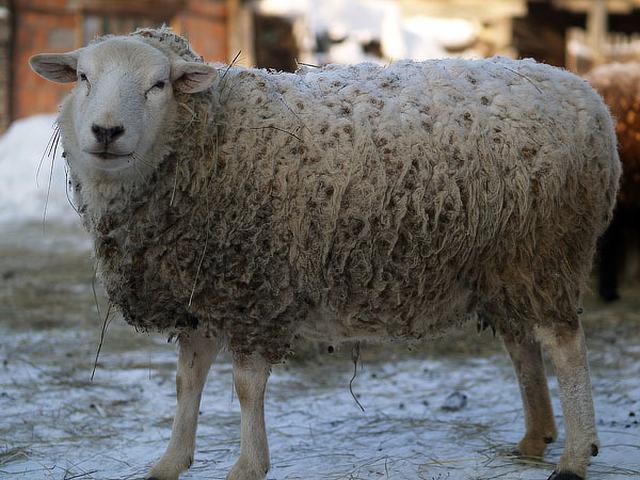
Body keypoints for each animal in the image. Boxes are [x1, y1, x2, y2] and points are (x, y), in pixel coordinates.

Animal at [29, 27, 620, 480]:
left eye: (158, 85)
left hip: (545, 249)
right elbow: (186, 381)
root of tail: (586, 95)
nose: (106, 131)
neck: (209, 143)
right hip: (502, 263)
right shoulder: (202, 290)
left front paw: (248, 466)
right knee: (523, 344)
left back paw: (574, 454)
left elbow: (246, 386)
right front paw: (171, 461)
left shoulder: (254, 287)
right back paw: (535, 437)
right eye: (83, 78)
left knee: (565, 345)